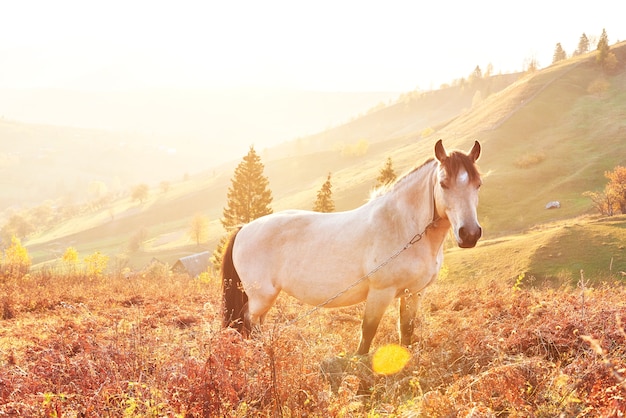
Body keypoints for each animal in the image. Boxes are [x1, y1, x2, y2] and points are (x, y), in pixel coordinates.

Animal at [222, 140, 480, 352]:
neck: (401, 225)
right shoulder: (380, 293)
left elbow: (406, 332)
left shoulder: (414, 292)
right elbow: (367, 334)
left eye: (478, 184)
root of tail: (244, 229)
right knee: (247, 323)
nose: (469, 234)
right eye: (443, 184)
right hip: (260, 298)